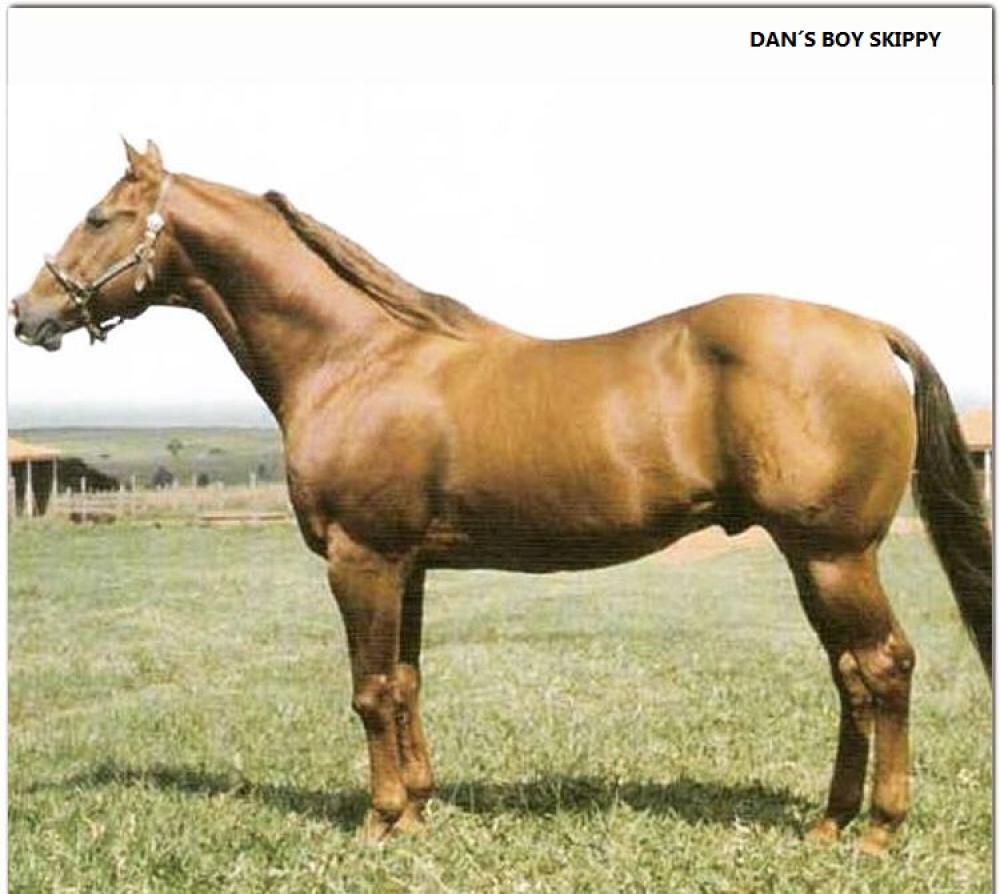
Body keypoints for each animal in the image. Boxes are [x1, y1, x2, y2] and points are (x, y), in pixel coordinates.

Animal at [12, 140, 991, 854]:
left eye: (99, 216)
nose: (29, 313)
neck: (357, 355)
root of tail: (865, 330)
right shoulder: (405, 566)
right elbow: (405, 682)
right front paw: (416, 808)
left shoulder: (360, 560)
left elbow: (369, 690)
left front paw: (378, 823)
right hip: (810, 559)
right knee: (851, 677)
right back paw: (829, 823)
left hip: (833, 555)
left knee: (885, 667)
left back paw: (879, 831)